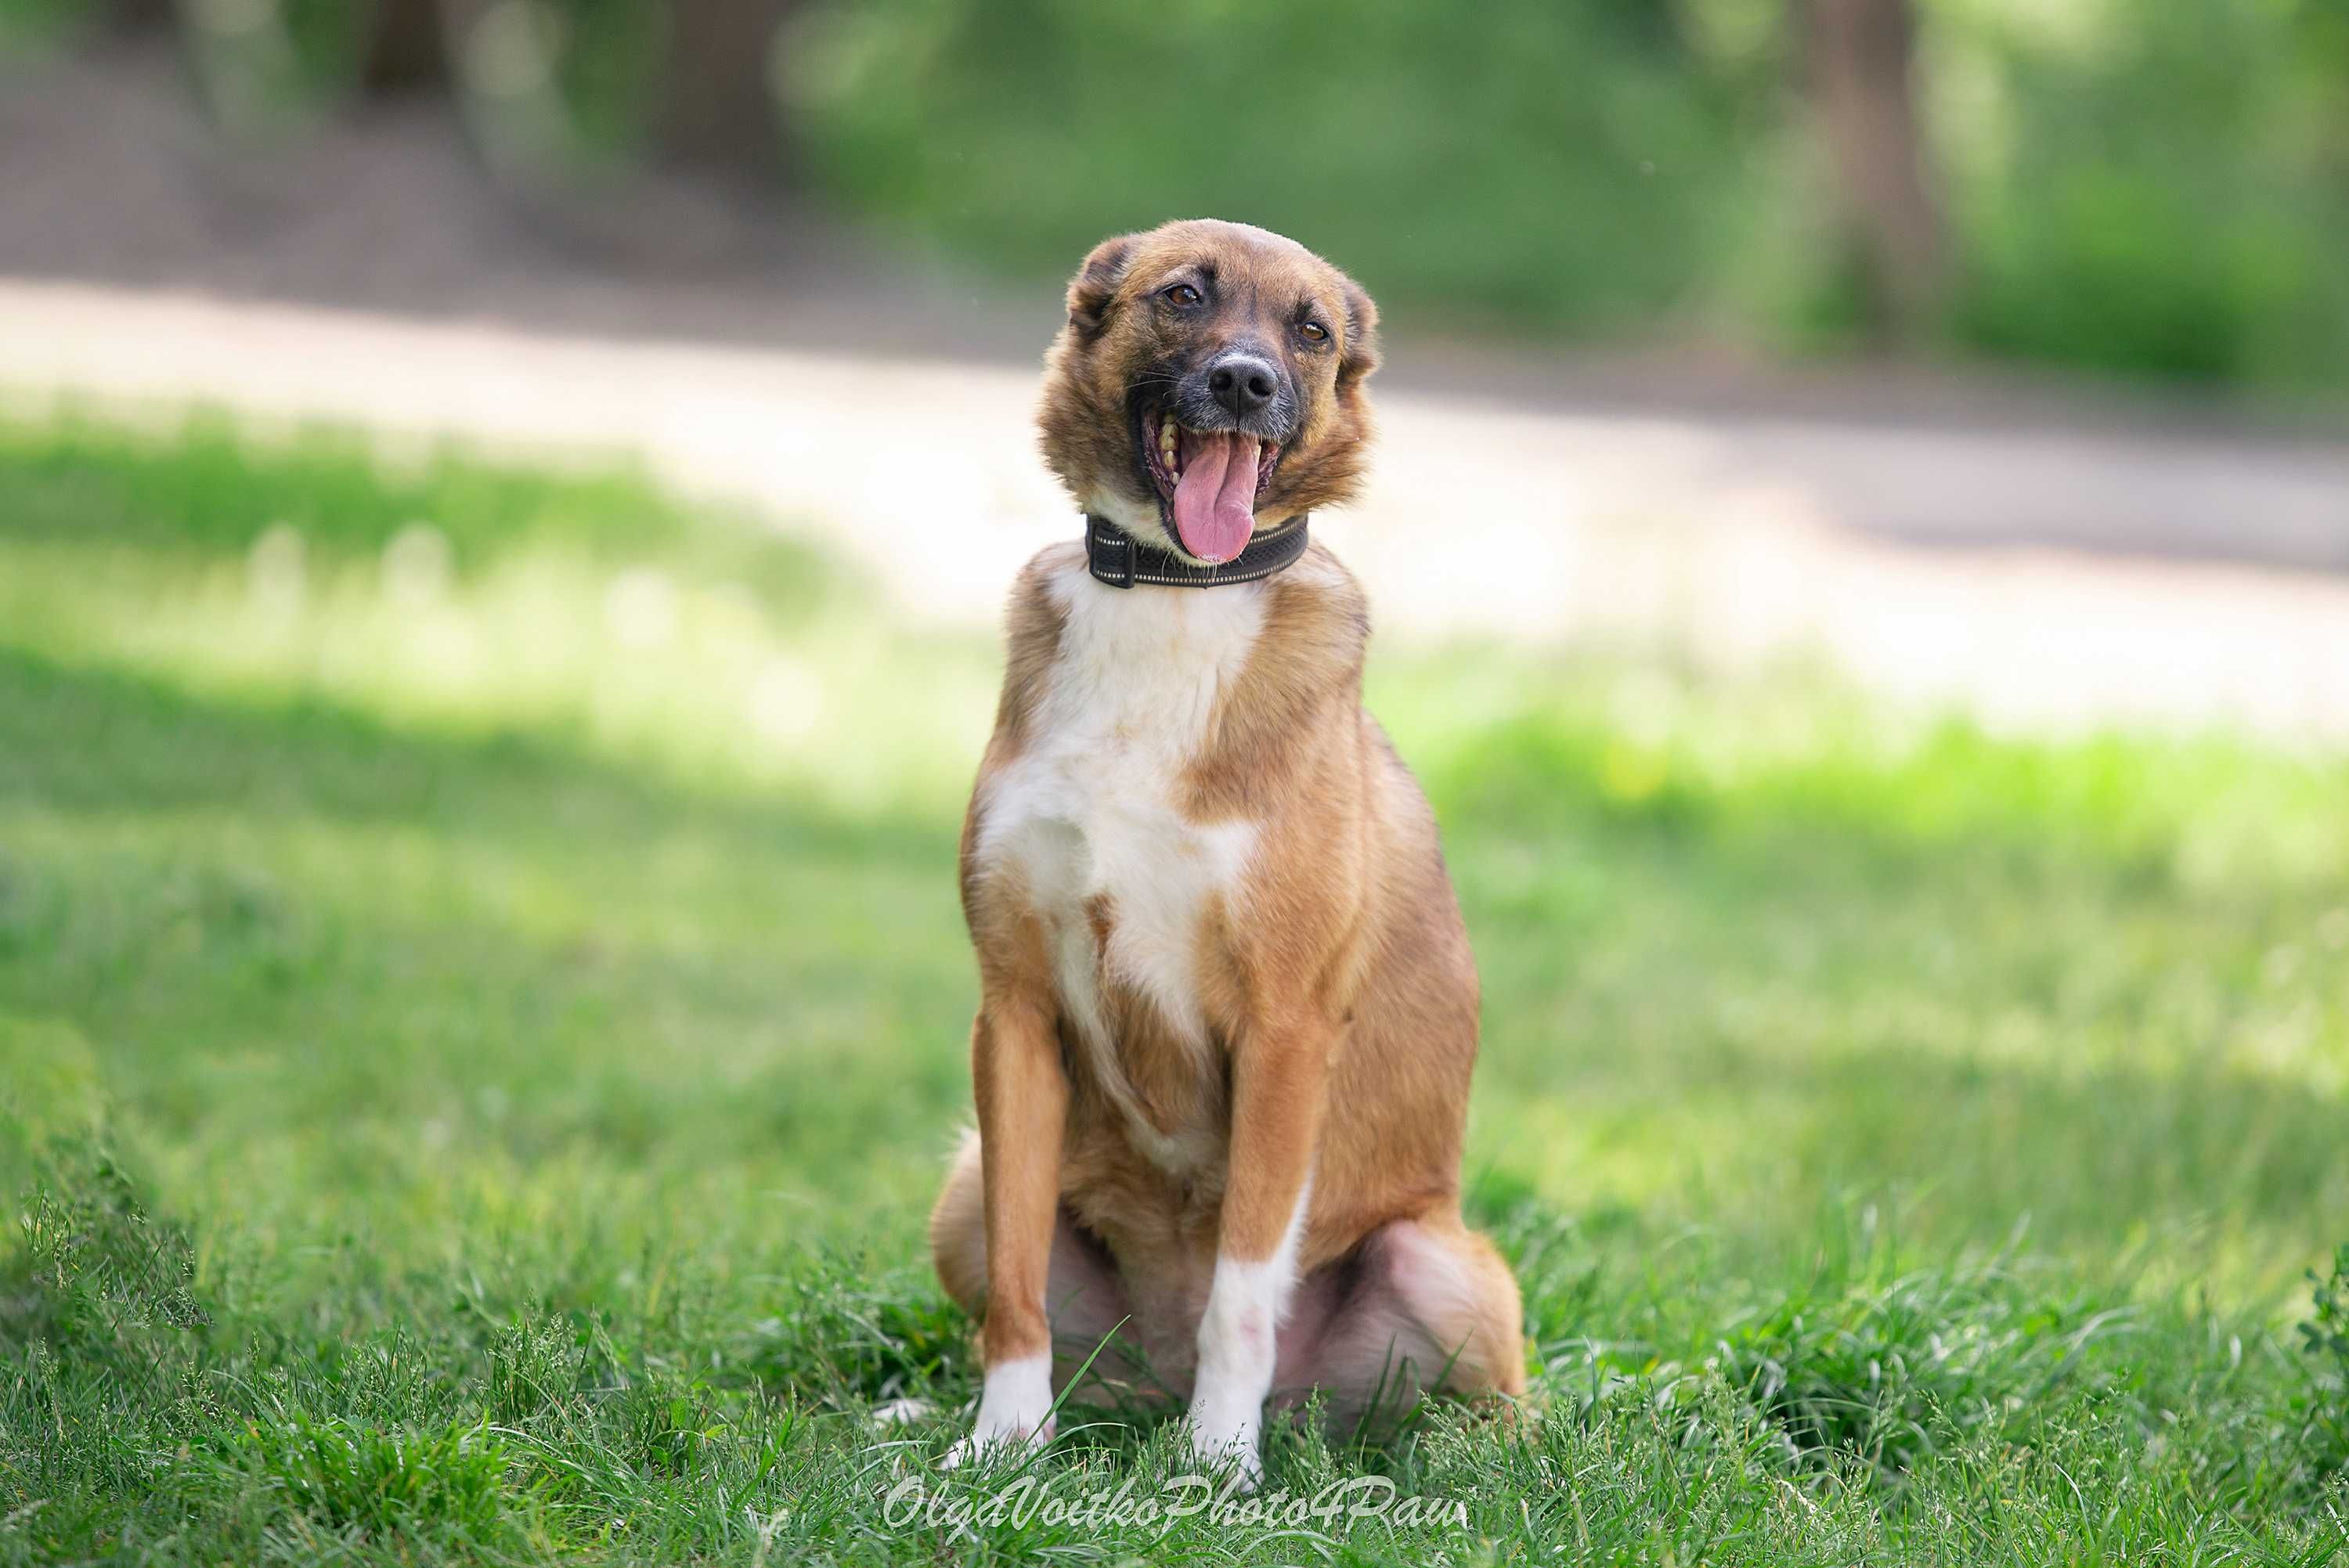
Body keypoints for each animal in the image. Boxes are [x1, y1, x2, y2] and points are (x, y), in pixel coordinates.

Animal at [916, 220, 1522, 1483]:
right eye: (1184, 295)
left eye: (1312, 329)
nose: (1245, 382)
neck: (1173, 595)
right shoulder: (1016, 1015)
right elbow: (1015, 1287)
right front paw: (1000, 1447)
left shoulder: (1284, 1033)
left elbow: (1244, 1287)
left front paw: (1218, 1470)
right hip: (959, 1181)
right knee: (1060, 1339)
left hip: (1443, 1264)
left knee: (1489, 1409)